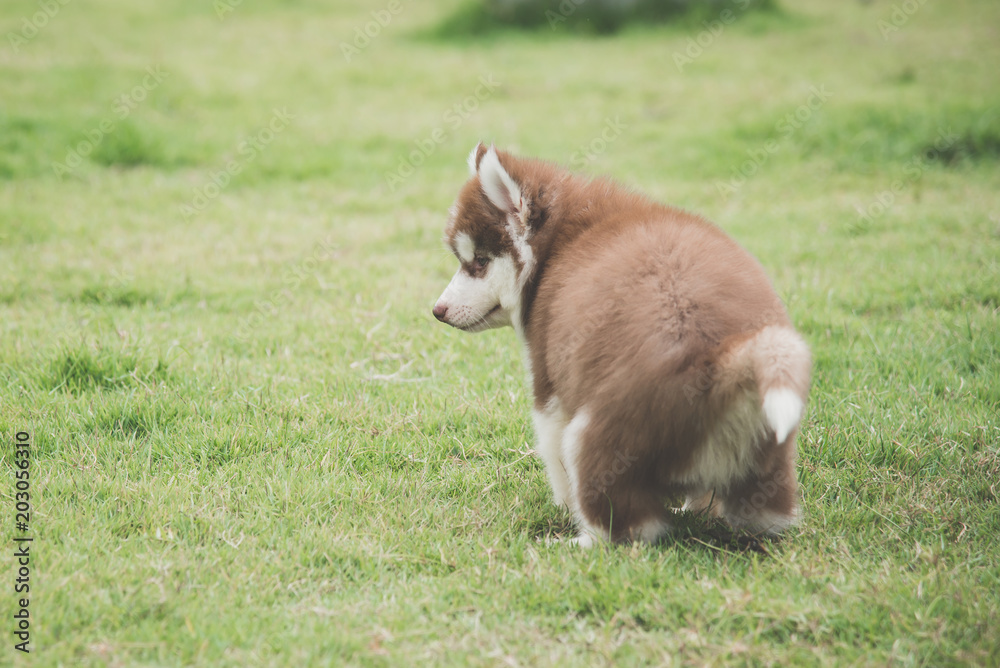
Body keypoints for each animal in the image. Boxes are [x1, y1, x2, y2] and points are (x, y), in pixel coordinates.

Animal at [434, 144, 808, 544]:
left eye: (479, 262)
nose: (437, 310)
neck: (563, 241)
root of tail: (717, 358)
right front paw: (699, 508)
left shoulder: (549, 384)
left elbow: (553, 458)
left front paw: (563, 509)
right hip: (766, 456)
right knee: (766, 515)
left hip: (593, 438)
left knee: (627, 526)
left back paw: (577, 540)